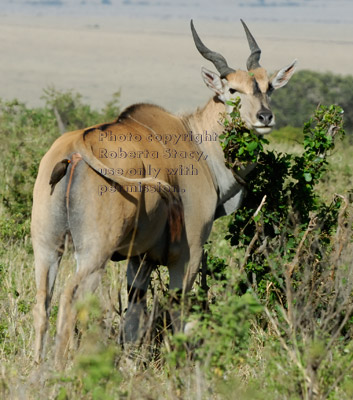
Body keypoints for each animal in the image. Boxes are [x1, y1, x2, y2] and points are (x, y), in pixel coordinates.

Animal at [31, 21, 294, 366]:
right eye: (232, 91)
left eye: (268, 87)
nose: (264, 117)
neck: (197, 140)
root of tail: (76, 148)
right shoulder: (188, 254)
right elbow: (178, 310)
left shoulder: (139, 259)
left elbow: (133, 315)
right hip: (93, 254)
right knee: (70, 297)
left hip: (46, 248)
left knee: (42, 304)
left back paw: (36, 368)